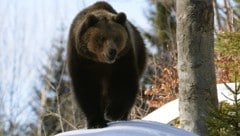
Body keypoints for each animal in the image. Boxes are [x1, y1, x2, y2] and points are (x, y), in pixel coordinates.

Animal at [67, 1, 146, 129]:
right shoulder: (82, 60)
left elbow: (124, 82)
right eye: (102, 38)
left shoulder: (122, 59)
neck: (100, 62)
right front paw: (96, 122)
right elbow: (87, 88)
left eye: (116, 37)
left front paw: (113, 113)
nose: (112, 51)